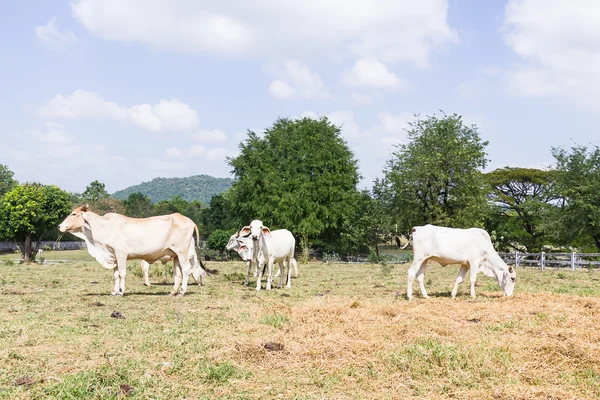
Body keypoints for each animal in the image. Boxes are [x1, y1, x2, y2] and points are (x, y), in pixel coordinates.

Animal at [58, 205, 206, 296]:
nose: (59, 226)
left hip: (182, 253)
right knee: (178, 273)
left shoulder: (121, 254)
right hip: (175, 255)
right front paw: (114, 291)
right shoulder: (114, 256)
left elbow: (122, 273)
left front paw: (121, 291)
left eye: (74, 214)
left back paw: (182, 292)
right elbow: (115, 275)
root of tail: (189, 221)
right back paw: (173, 291)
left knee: (186, 270)